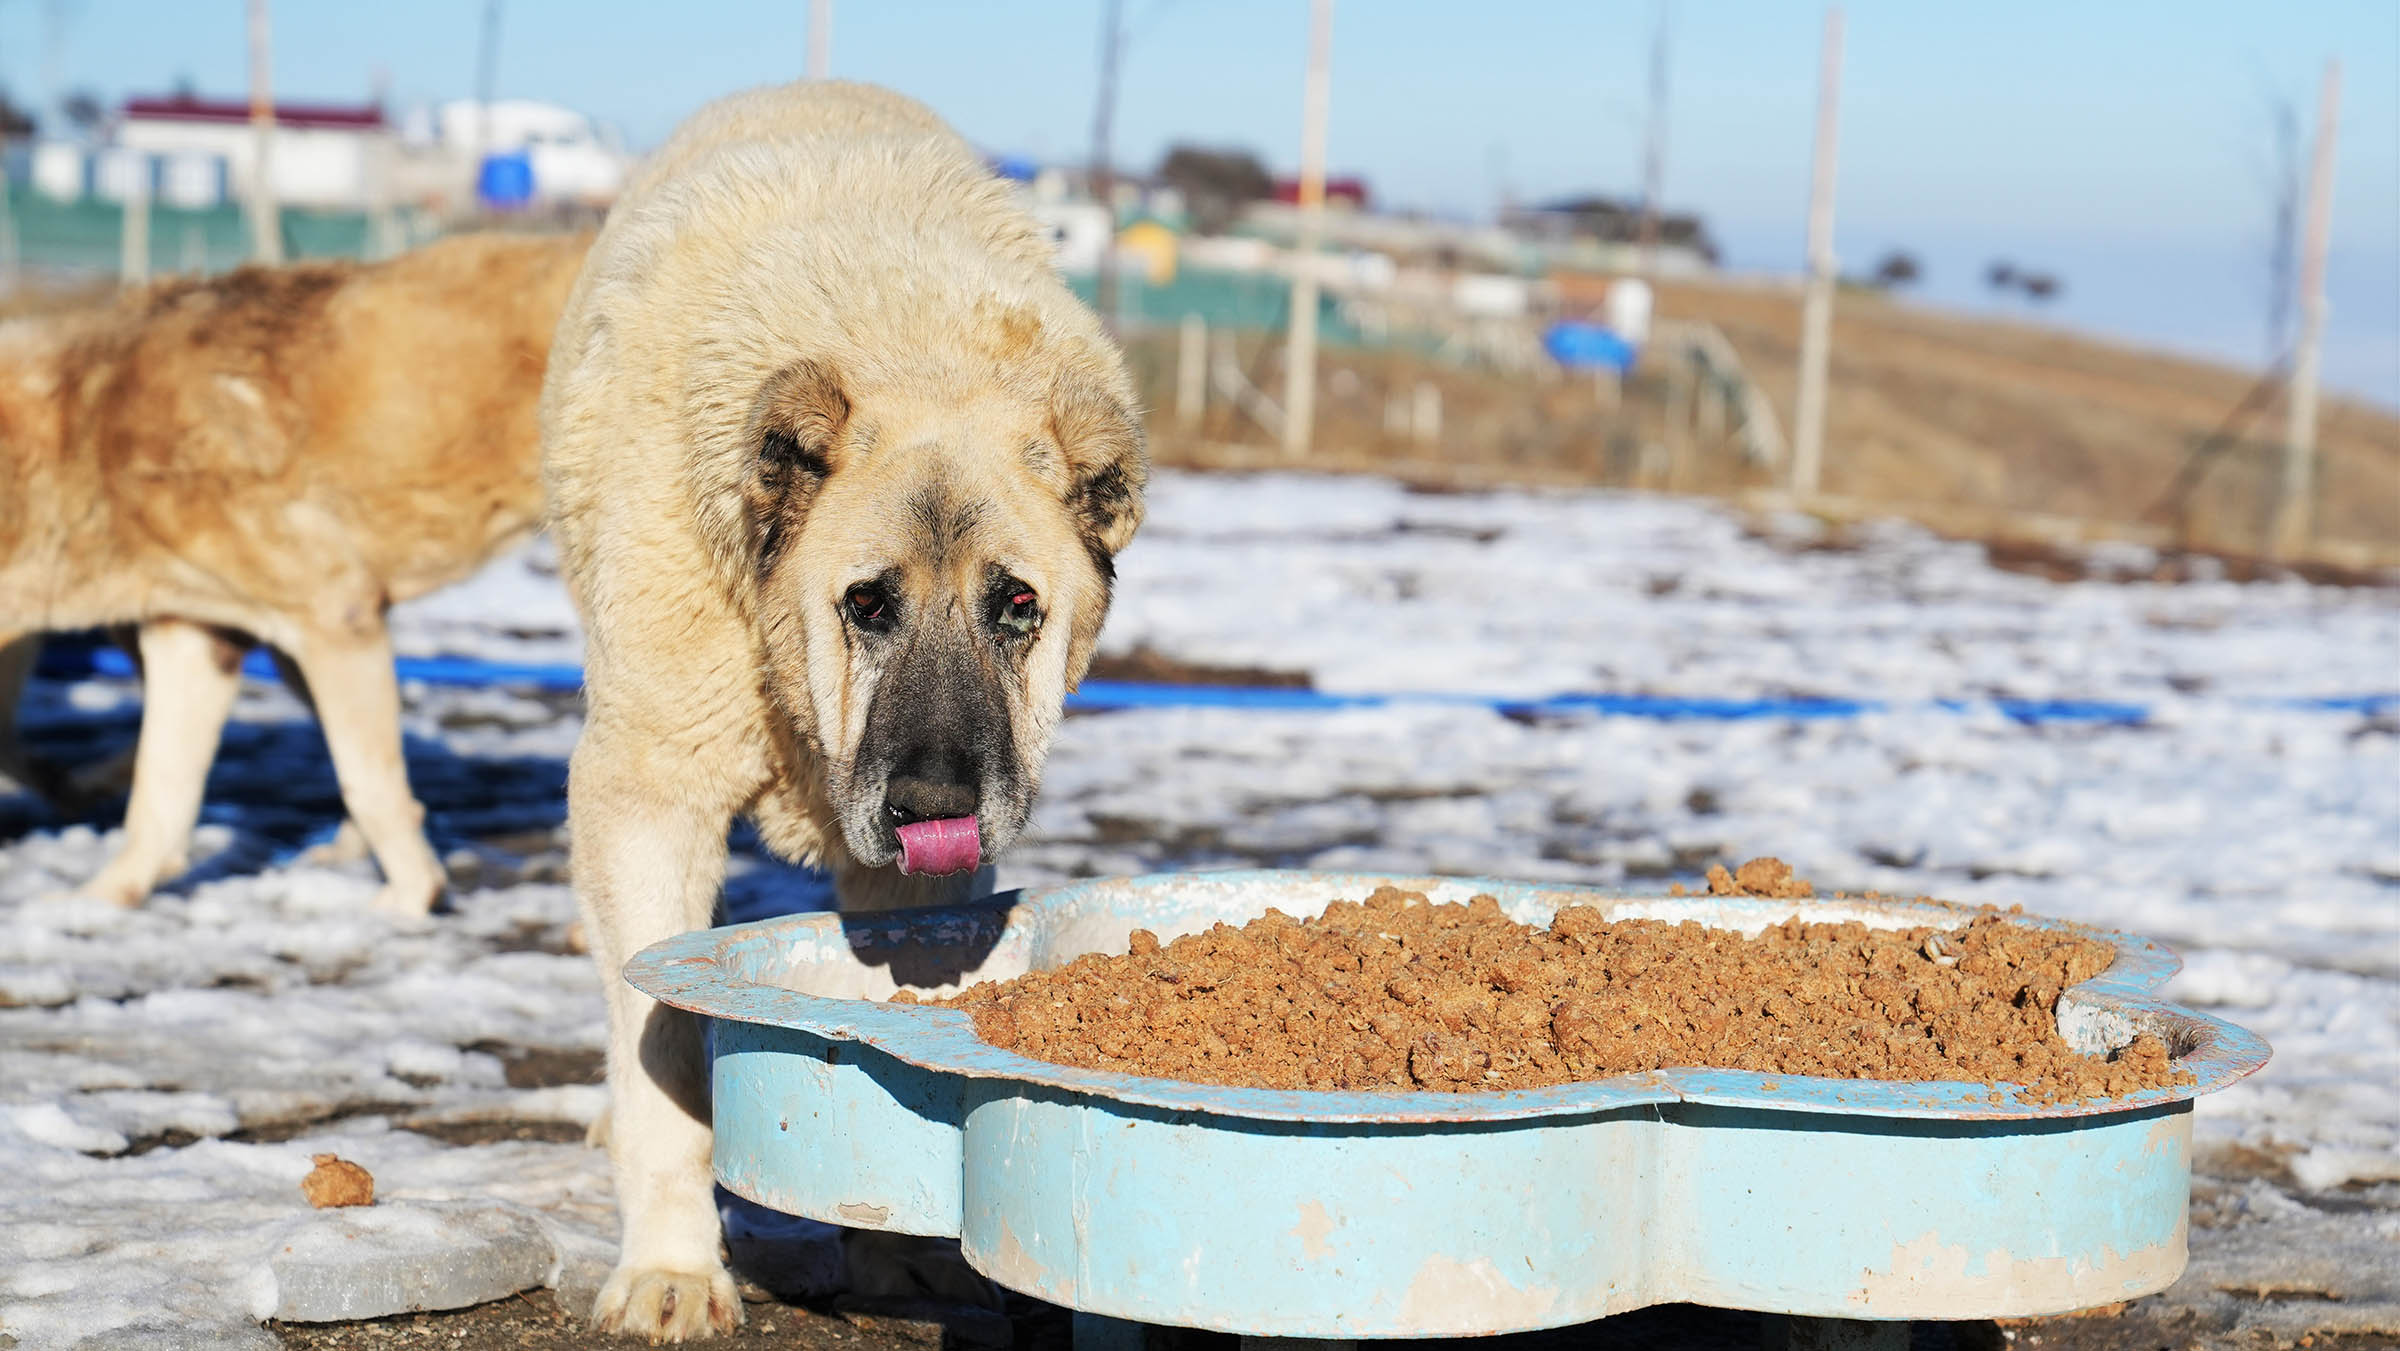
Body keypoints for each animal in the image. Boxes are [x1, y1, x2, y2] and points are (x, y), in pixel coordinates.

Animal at [2, 232, 592, 916]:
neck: (85, 434)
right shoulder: (194, 638)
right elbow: (159, 799)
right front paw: (101, 898)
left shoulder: (335, 617)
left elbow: (368, 783)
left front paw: (411, 899)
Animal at [544, 84, 1142, 1343]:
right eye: (867, 603)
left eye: (1018, 604)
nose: (931, 799)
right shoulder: (646, 796)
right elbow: (662, 1048)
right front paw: (673, 1267)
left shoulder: (919, 884)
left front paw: (895, 1243)